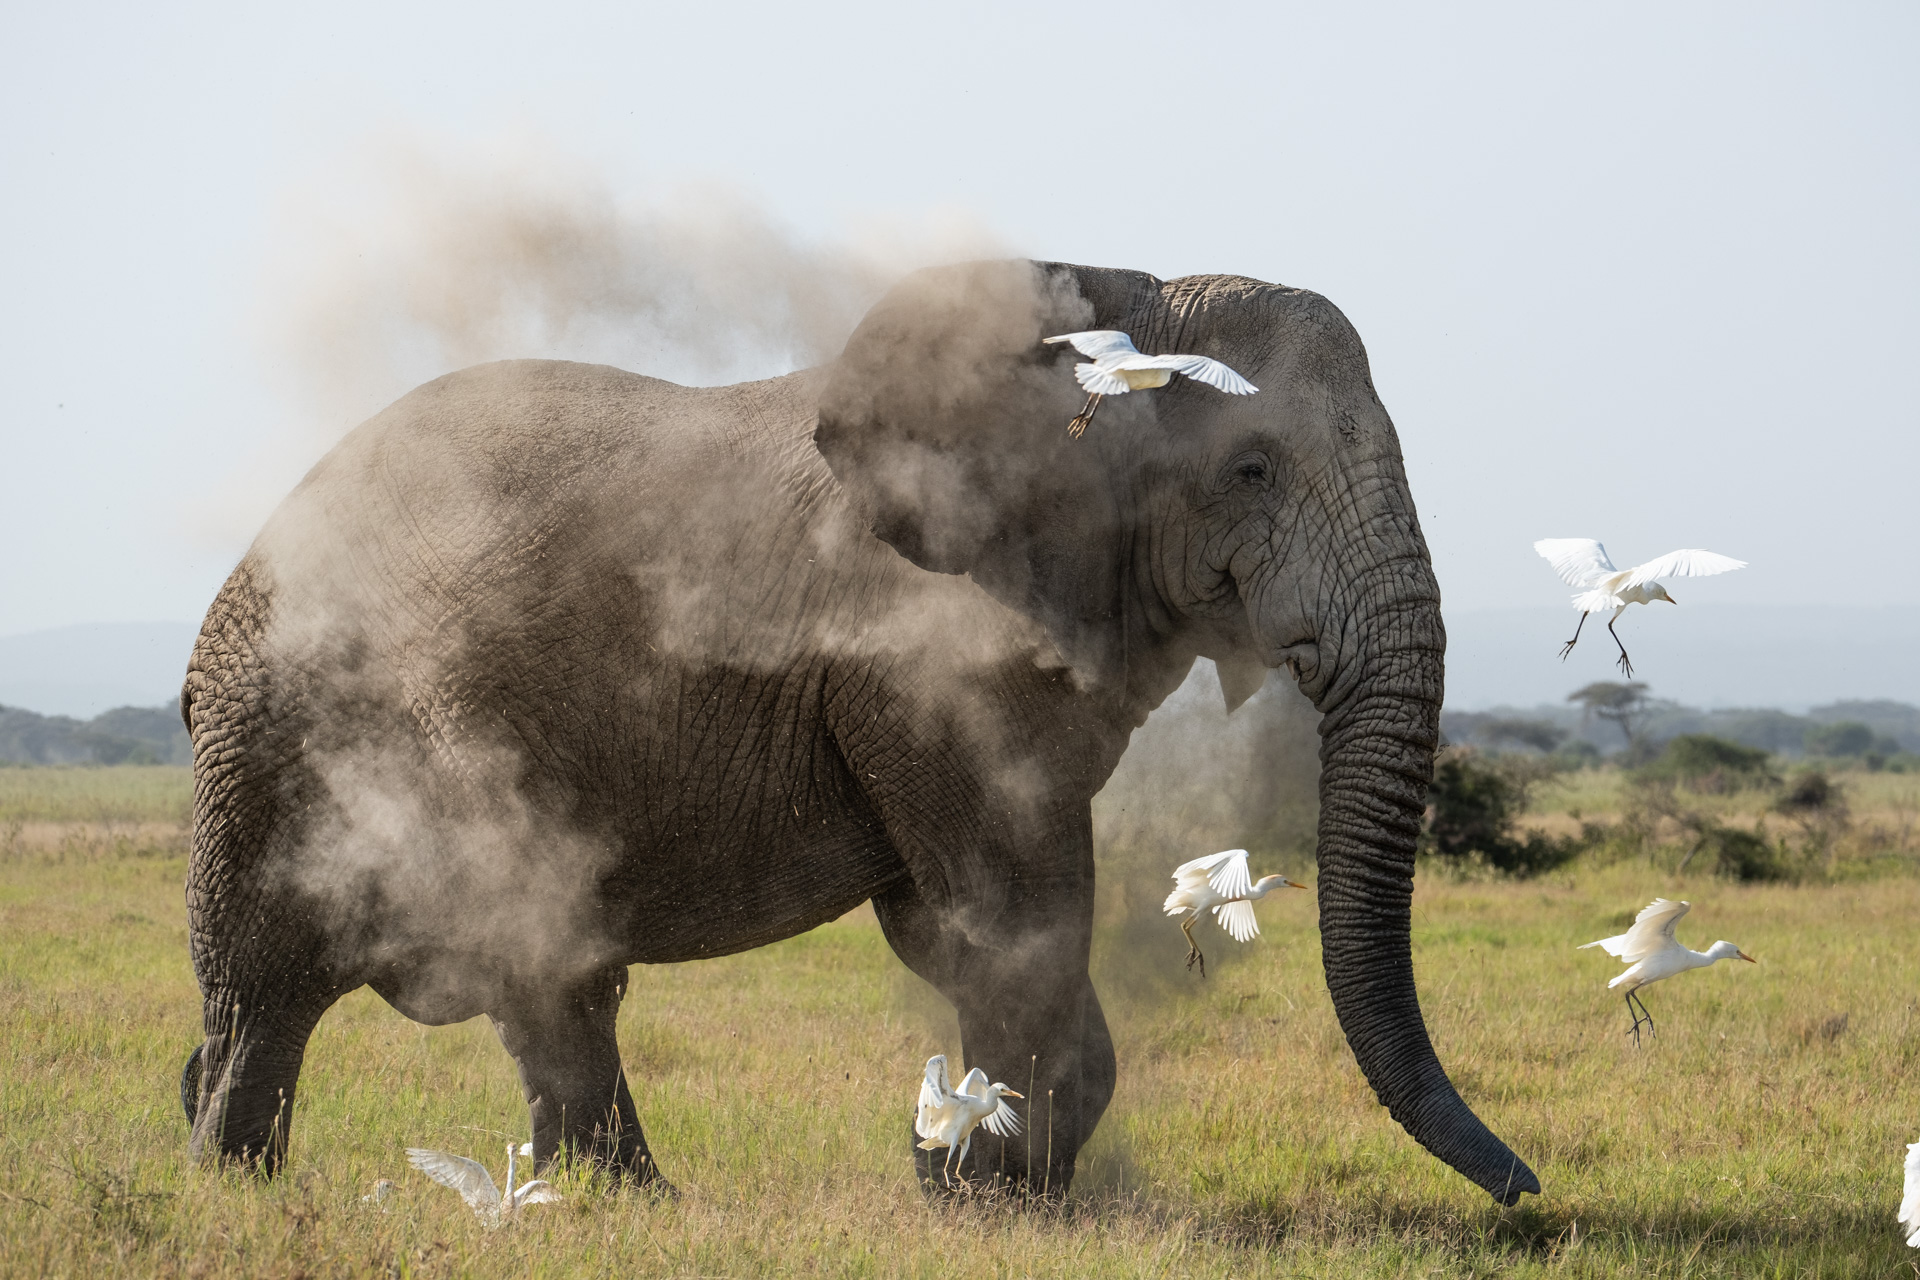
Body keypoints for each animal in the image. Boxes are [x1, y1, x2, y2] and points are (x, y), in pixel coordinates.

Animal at [172, 257, 1536, 1205]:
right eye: (1251, 470)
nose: (1530, 1193)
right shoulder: (924, 660)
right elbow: (1014, 914)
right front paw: (990, 1200)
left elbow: (946, 927)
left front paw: (973, 1181)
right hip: (284, 729)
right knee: (282, 984)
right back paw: (246, 1185)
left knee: (522, 973)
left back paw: (606, 1200)